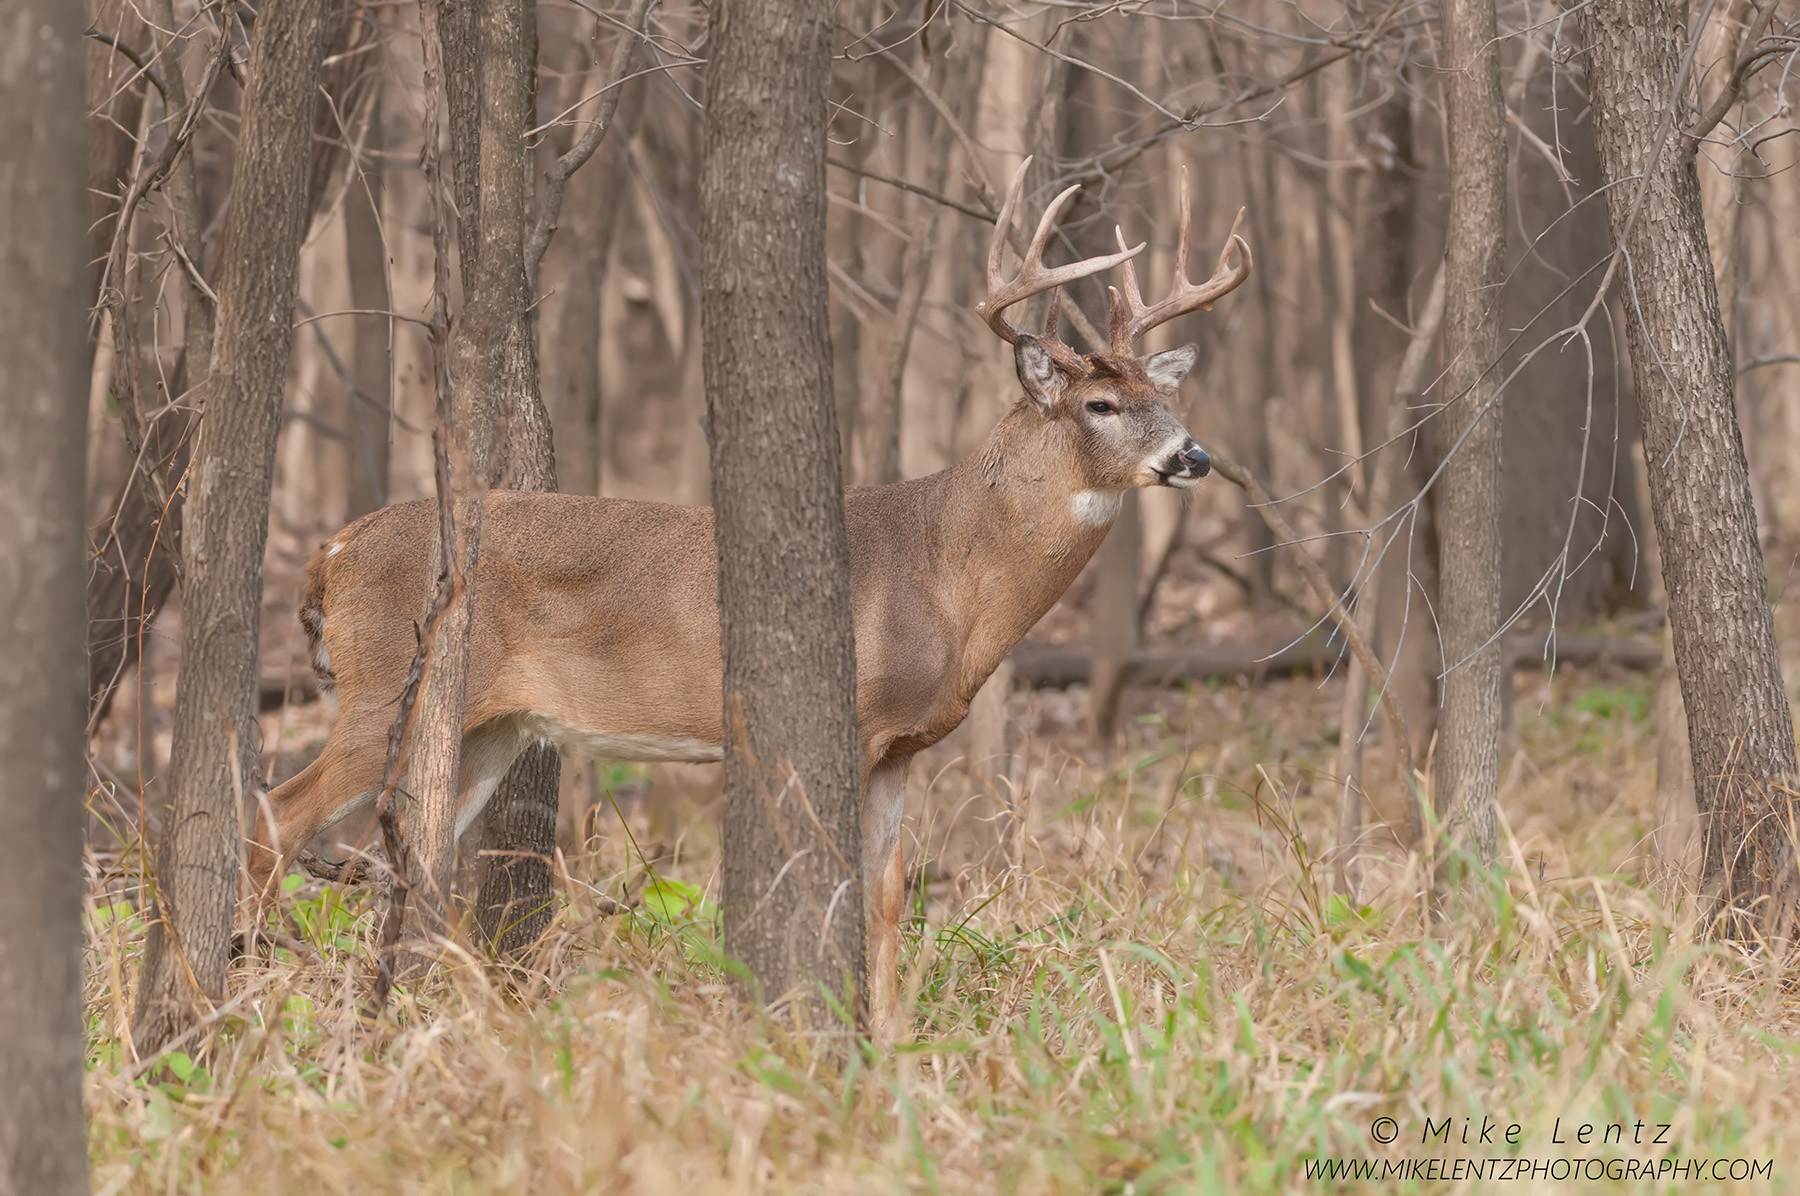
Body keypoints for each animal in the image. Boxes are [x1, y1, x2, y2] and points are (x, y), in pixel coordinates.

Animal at [246, 158, 1245, 1030]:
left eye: (1159, 395)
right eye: (1099, 407)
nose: (1195, 455)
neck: (949, 578)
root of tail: (337, 548)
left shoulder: (902, 746)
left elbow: (889, 892)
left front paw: (894, 1040)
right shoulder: (848, 716)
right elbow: (836, 879)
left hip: (490, 722)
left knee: (410, 853)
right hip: (383, 684)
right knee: (280, 815)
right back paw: (253, 991)